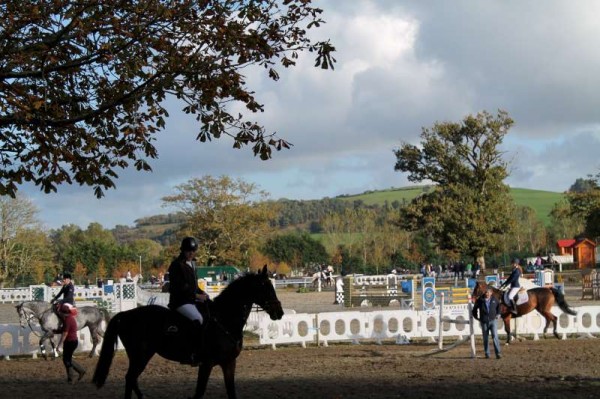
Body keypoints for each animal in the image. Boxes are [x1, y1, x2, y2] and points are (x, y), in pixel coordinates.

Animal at [92, 266, 284, 399]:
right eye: (264, 287)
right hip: (141, 356)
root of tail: (125, 315)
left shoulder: (229, 363)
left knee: (132, 380)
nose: (279, 313)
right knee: (130, 378)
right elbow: (199, 392)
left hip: (141, 356)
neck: (224, 319)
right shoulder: (206, 364)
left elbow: (232, 393)